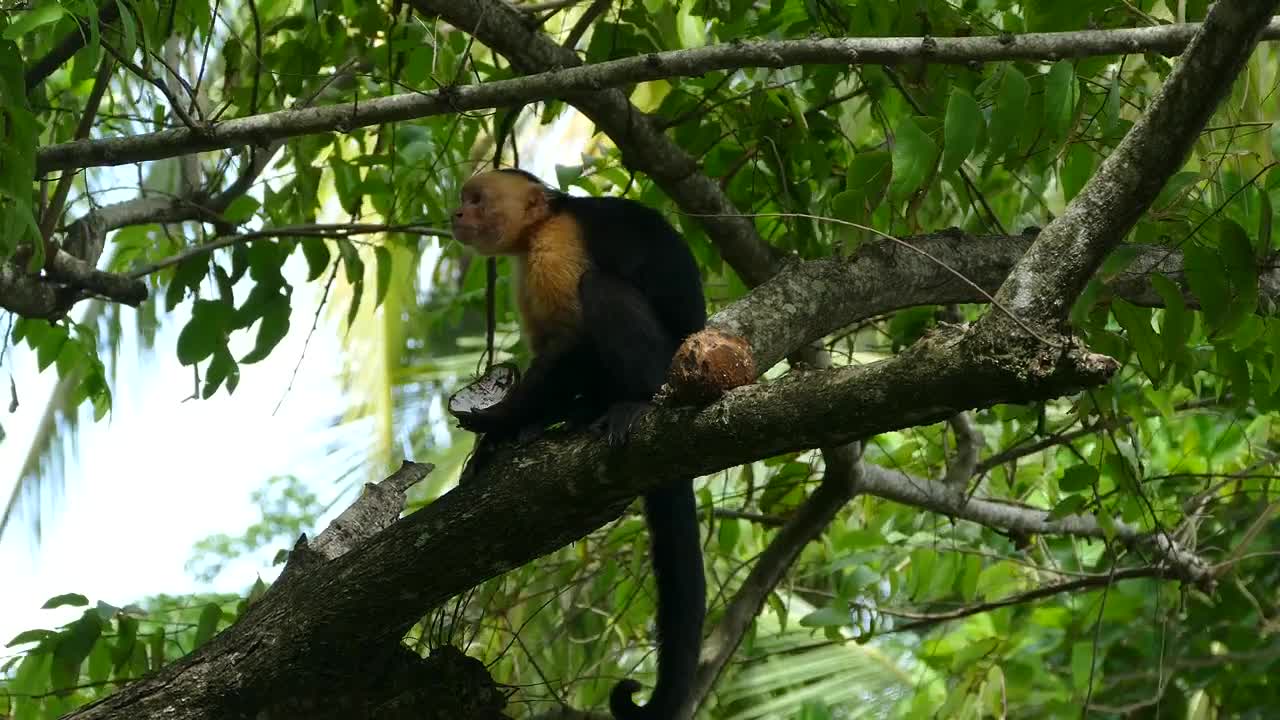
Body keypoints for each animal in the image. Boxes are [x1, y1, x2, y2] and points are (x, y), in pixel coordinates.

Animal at [450, 168, 706, 719]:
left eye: (477, 199)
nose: (456, 214)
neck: (538, 226)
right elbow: (551, 347)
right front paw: (506, 436)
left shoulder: (558, 243)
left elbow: (573, 341)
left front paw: (500, 419)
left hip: (670, 366)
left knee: (601, 290)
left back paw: (633, 402)